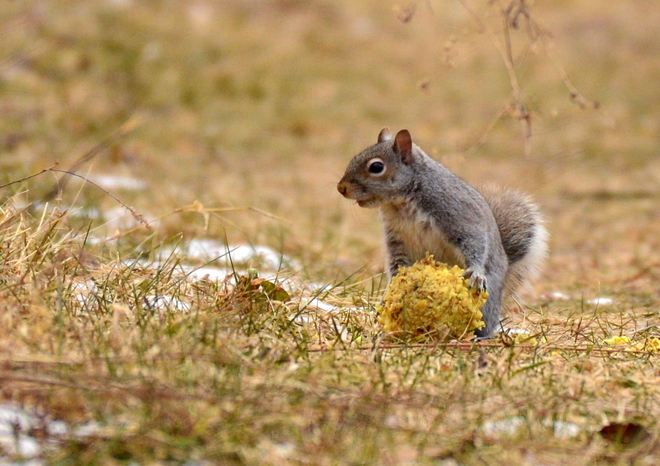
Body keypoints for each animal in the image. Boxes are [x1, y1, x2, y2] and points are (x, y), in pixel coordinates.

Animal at [336, 127, 548, 338]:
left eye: (376, 167)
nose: (341, 188)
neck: (401, 203)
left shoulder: (458, 212)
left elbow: (475, 239)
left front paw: (475, 272)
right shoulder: (396, 237)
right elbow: (397, 263)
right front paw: (389, 293)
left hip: (487, 303)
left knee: (487, 324)